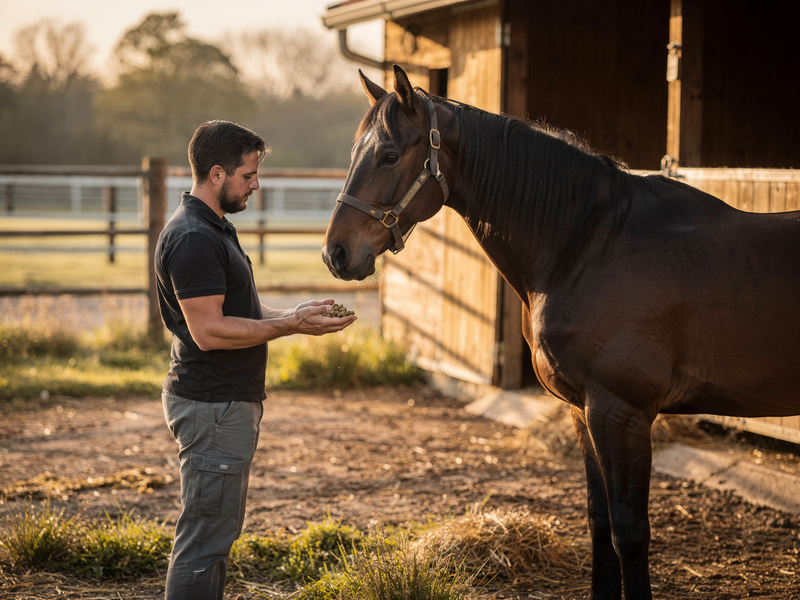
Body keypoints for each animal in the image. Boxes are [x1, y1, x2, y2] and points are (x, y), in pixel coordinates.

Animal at [321, 65, 800, 600]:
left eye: (388, 155)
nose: (336, 253)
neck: (588, 244)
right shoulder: (582, 410)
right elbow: (599, 521)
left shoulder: (622, 412)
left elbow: (629, 531)